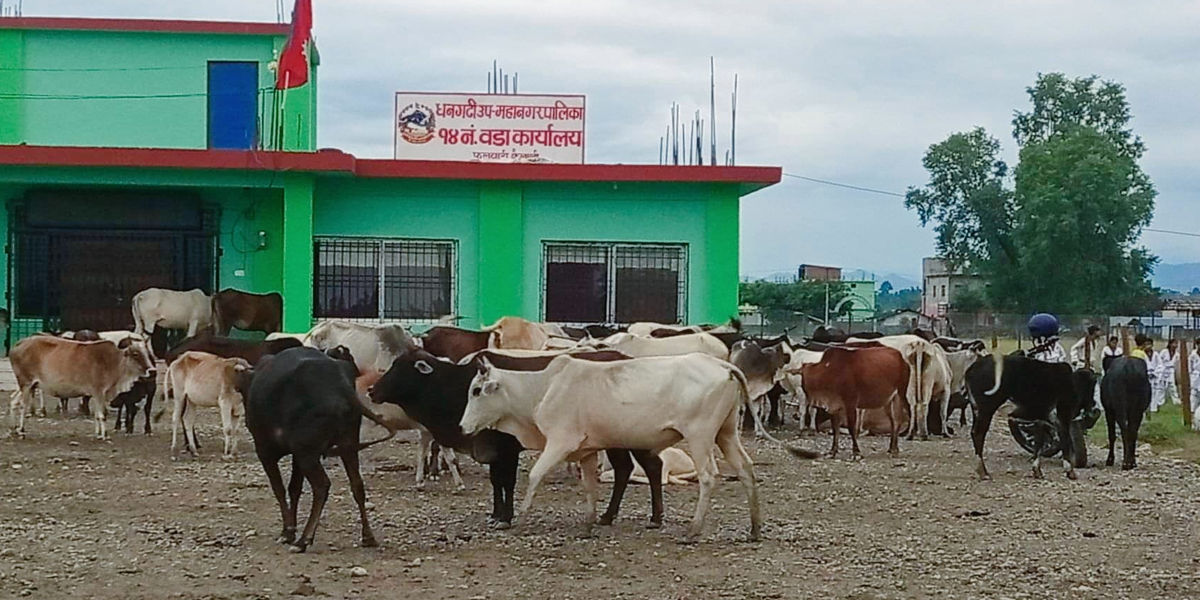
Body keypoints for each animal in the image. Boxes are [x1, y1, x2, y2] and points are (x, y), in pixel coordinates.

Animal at [10, 336, 156, 439]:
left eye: (148, 353)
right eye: (136, 354)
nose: (152, 371)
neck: (112, 362)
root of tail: (18, 344)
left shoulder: (97, 393)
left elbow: (97, 414)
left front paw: (98, 433)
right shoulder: (99, 390)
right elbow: (102, 414)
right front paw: (104, 435)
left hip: (27, 385)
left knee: (13, 401)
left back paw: (13, 429)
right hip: (26, 383)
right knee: (22, 405)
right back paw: (21, 431)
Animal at [246, 348, 400, 552]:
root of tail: (340, 387)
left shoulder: (265, 451)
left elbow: (279, 489)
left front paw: (288, 531)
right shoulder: (296, 456)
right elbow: (294, 489)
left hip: (308, 454)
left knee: (322, 486)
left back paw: (304, 539)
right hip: (347, 445)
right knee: (357, 485)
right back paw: (368, 536)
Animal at [458, 352, 816, 542]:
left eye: (476, 390)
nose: (462, 427)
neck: (544, 387)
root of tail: (722, 364)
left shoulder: (560, 443)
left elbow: (534, 476)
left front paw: (519, 519)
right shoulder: (587, 450)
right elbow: (590, 486)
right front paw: (590, 522)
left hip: (701, 436)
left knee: (709, 476)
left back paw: (693, 530)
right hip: (726, 434)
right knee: (745, 470)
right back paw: (754, 529)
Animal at [964, 355, 1099, 477]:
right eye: (1091, 386)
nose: (1093, 406)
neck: (1071, 382)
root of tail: (974, 367)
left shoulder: (1041, 419)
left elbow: (1039, 443)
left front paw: (1037, 470)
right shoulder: (1062, 416)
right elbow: (1065, 441)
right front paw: (1070, 471)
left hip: (977, 410)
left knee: (974, 433)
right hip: (987, 409)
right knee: (979, 434)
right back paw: (983, 472)